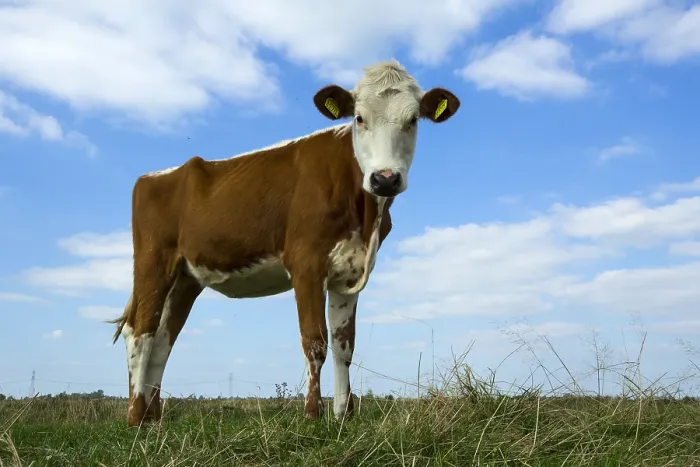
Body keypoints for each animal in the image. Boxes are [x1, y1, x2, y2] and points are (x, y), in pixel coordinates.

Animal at [109, 59, 460, 426]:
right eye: (359, 118)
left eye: (413, 120)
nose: (385, 178)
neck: (366, 217)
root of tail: (158, 175)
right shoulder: (306, 263)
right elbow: (315, 342)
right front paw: (313, 415)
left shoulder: (349, 270)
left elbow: (344, 346)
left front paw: (344, 415)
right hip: (153, 262)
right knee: (141, 333)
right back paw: (136, 418)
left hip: (187, 278)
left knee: (163, 342)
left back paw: (154, 419)